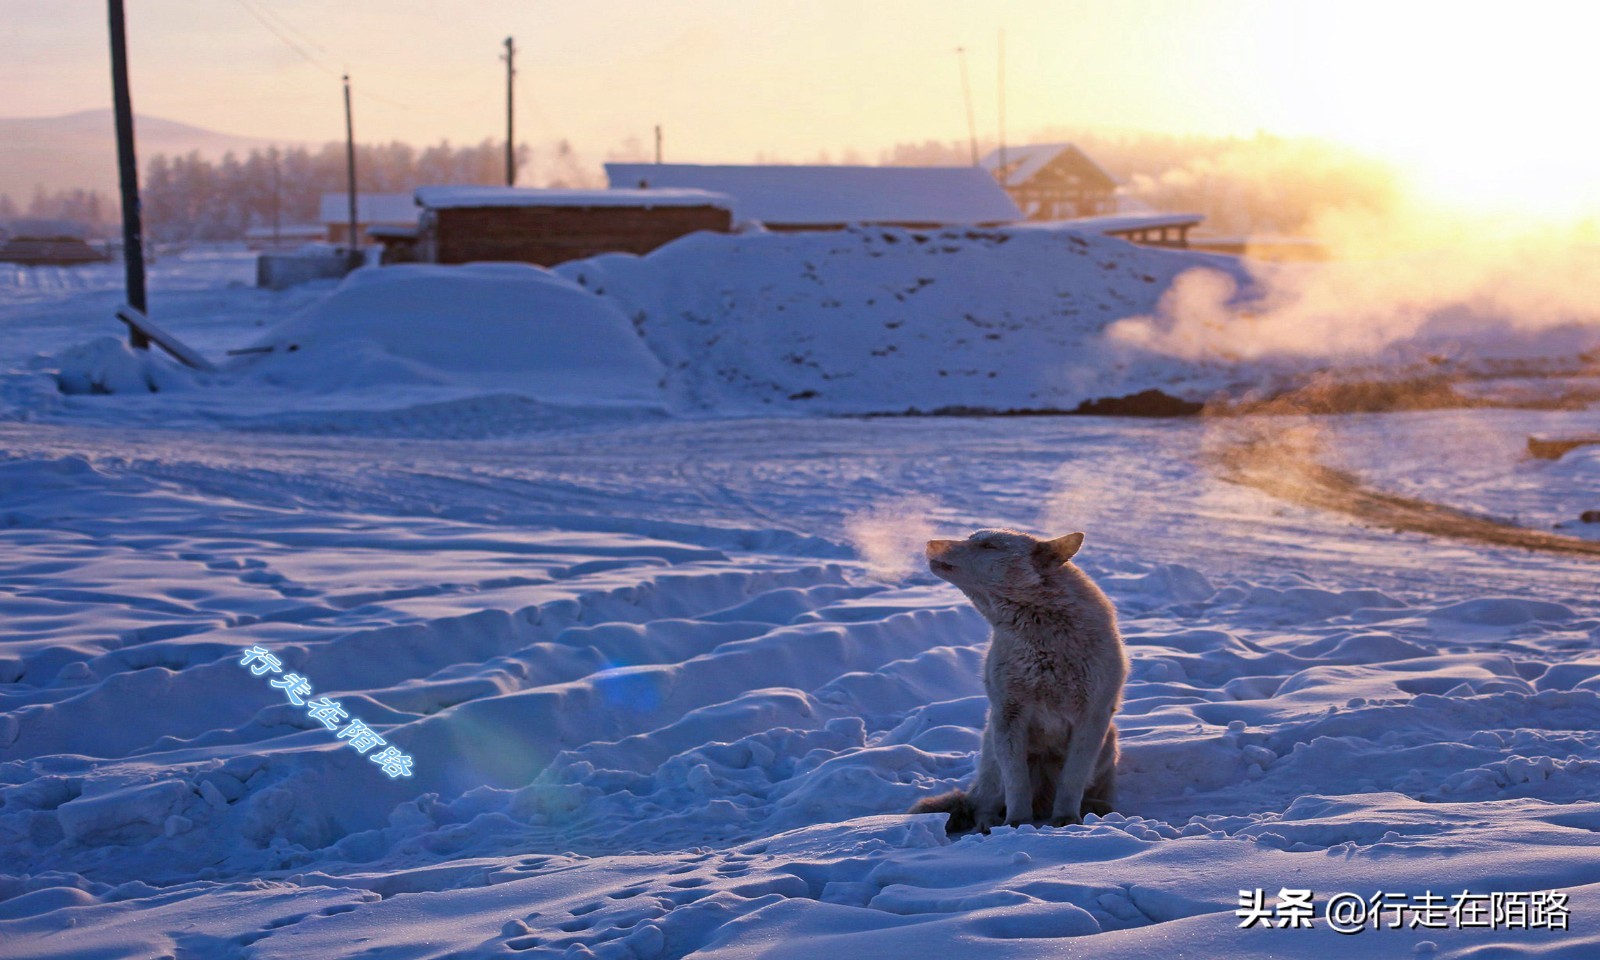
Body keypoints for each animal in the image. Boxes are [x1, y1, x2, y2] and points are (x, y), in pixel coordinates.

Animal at [915, 528, 1126, 825]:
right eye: (971, 537)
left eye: (988, 545)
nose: (930, 542)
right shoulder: (1009, 714)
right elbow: (1017, 783)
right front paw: (1017, 825)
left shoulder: (1092, 716)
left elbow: (1072, 779)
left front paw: (1066, 821)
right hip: (993, 749)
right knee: (983, 804)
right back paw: (989, 823)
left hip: (1108, 745)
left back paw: (1095, 807)